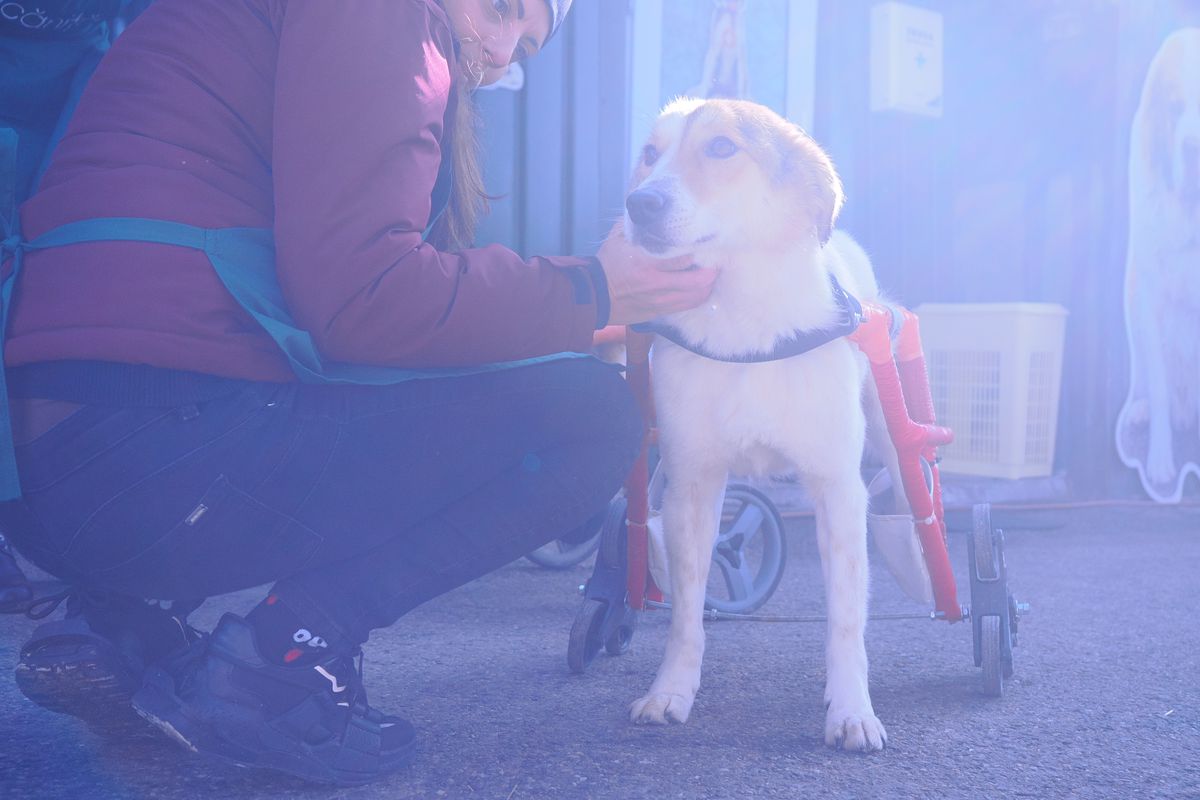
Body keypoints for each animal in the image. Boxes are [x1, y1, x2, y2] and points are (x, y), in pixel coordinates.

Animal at [624, 98, 897, 753]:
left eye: (722, 147)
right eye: (650, 154)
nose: (638, 204)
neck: (744, 326)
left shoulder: (838, 490)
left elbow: (846, 618)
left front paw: (851, 708)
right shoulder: (692, 486)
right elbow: (686, 613)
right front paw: (671, 691)